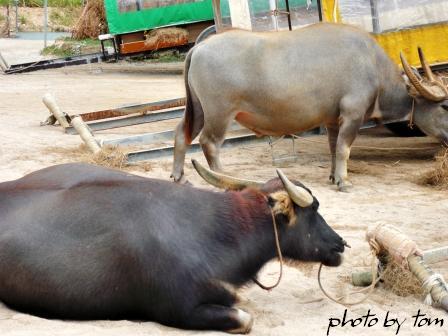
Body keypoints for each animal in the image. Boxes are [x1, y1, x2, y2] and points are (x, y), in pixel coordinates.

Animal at [171, 22, 448, 192]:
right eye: (445, 106)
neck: (372, 66)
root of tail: (199, 47)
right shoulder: (353, 114)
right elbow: (344, 149)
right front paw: (344, 181)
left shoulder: (333, 120)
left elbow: (333, 148)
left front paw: (333, 176)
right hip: (219, 113)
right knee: (209, 143)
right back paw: (227, 179)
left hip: (198, 110)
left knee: (181, 134)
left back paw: (179, 177)